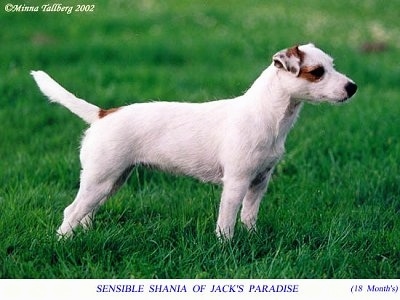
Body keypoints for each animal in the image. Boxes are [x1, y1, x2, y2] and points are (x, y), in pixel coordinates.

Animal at [30, 43, 356, 239]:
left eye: (332, 65)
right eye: (317, 72)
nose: (352, 87)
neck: (265, 115)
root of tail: (102, 115)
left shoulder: (259, 181)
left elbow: (249, 216)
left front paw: (252, 238)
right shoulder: (236, 182)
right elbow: (227, 222)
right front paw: (226, 247)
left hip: (111, 181)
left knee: (85, 213)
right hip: (100, 179)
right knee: (71, 212)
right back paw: (63, 242)